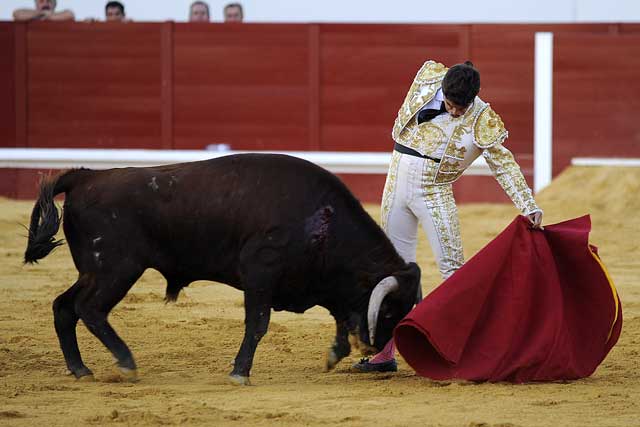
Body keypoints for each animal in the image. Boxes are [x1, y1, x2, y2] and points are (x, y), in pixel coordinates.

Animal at [25, 153, 422, 384]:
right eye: (389, 310)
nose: (376, 348)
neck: (322, 219)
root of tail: (86, 177)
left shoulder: (322, 283)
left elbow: (340, 315)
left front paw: (333, 355)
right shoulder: (260, 272)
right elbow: (258, 324)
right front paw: (239, 373)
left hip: (93, 271)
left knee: (64, 306)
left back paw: (80, 369)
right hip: (116, 269)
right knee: (89, 308)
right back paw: (125, 362)